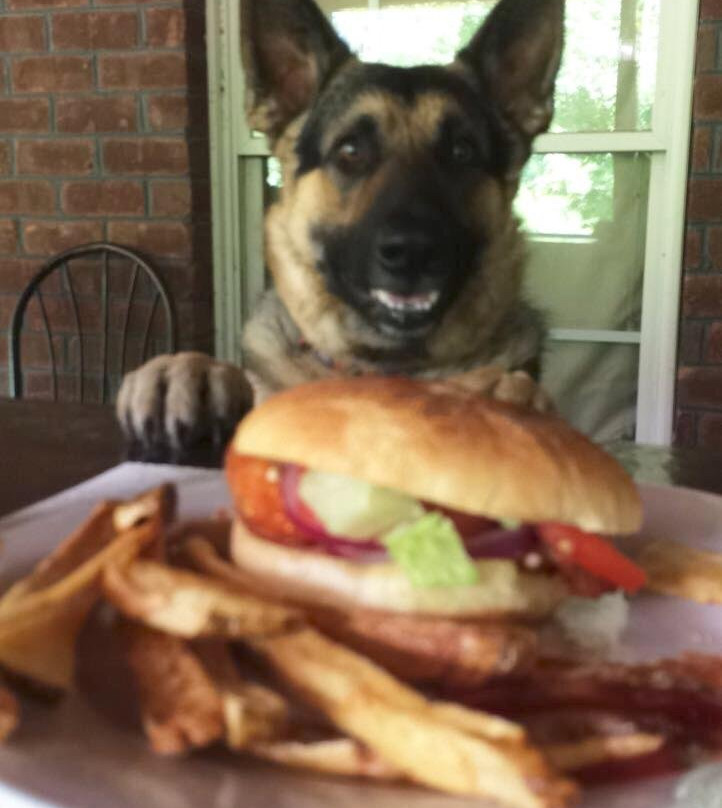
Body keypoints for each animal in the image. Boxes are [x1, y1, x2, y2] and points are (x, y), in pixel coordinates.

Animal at [117, 0, 564, 462]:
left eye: (462, 152)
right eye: (350, 150)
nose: (414, 251)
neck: (378, 367)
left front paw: (508, 402)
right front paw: (189, 371)